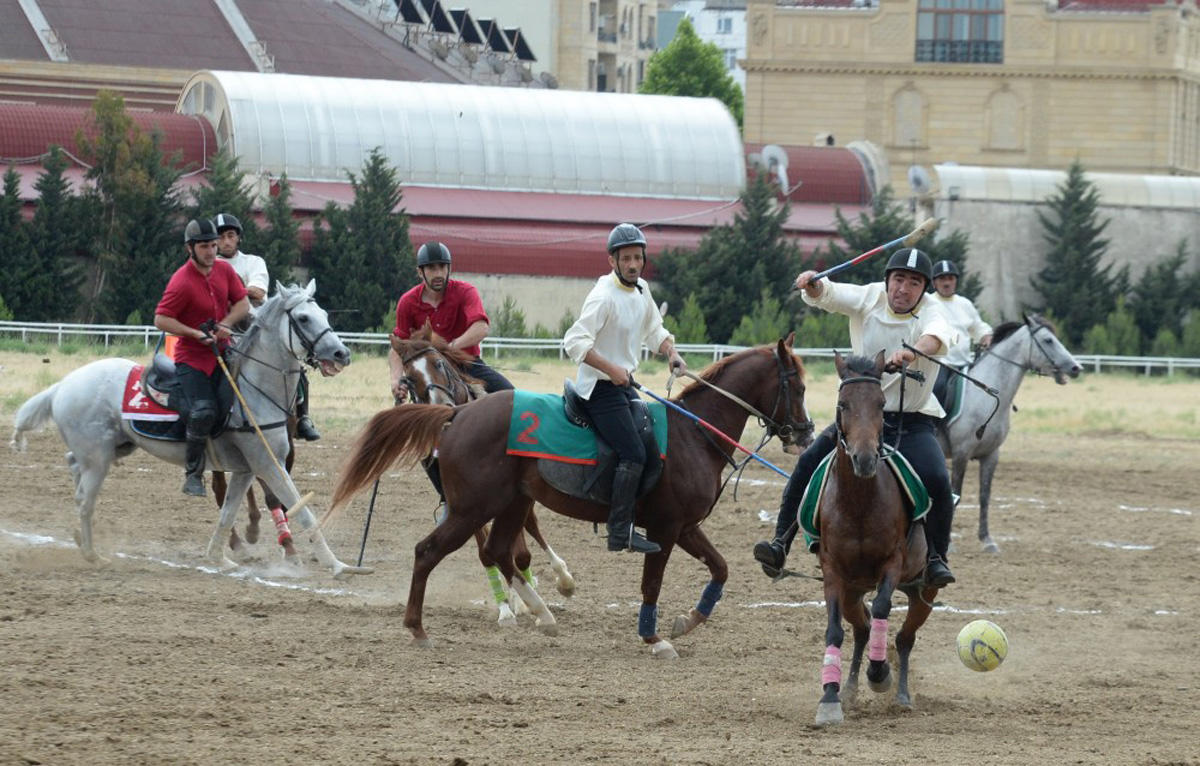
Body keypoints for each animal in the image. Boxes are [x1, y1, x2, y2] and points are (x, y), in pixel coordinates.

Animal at [10, 278, 369, 578]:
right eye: (304, 318)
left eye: (323, 313)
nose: (342, 352)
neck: (253, 390)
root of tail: (62, 384)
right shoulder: (268, 464)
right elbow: (304, 512)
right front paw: (338, 566)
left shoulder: (246, 469)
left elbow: (228, 512)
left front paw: (218, 558)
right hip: (98, 458)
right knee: (86, 500)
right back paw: (91, 554)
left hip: (113, 448)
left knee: (73, 466)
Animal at [333, 336, 811, 662]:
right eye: (800, 387)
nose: (805, 434)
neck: (692, 433)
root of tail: (459, 411)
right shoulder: (666, 529)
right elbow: (652, 583)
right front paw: (654, 638)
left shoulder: (686, 527)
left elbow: (721, 567)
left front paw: (688, 621)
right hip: (472, 509)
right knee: (430, 551)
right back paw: (418, 628)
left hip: (511, 504)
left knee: (500, 552)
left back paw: (542, 612)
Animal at [811, 355, 940, 725]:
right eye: (843, 404)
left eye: (882, 404)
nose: (865, 459)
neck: (858, 505)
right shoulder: (833, 571)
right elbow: (834, 630)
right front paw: (829, 697)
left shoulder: (892, 564)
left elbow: (883, 607)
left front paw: (879, 673)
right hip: (853, 592)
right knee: (863, 628)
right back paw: (849, 688)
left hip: (923, 591)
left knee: (904, 637)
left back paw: (901, 693)